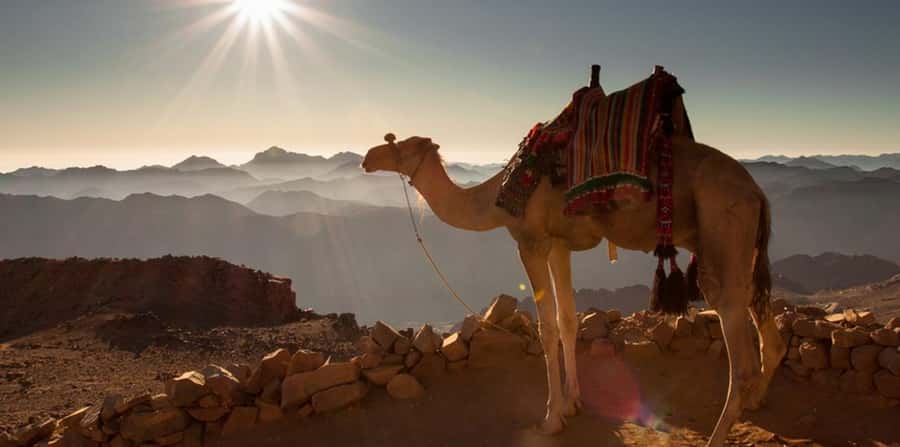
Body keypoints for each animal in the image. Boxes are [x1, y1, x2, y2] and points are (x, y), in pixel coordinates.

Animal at [361, 129, 787, 446]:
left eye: (401, 143)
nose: (368, 156)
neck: (496, 199)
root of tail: (757, 193)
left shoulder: (531, 241)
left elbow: (547, 327)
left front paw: (551, 418)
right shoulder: (558, 244)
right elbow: (567, 320)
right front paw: (572, 403)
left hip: (722, 230)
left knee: (739, 351)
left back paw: (719, 433)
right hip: (743, 247)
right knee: (762, 318)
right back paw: (757, 401)